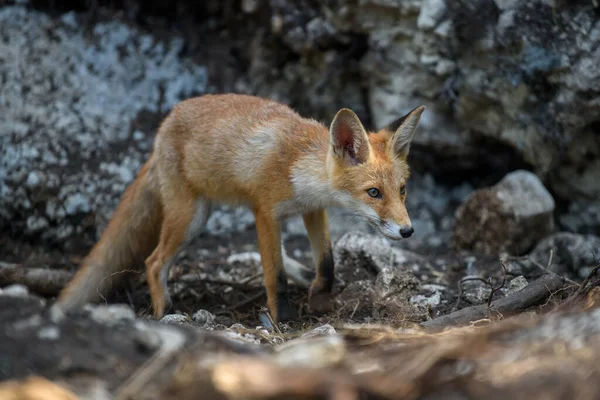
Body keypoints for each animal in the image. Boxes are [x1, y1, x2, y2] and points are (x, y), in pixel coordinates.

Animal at [54, 93, 424, 322]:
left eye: (402, 190)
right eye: (373, 192)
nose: (408, 231)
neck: (297, 165)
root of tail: (163, 130)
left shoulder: (312, 210)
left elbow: (327, 263)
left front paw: (318, 297)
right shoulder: (266, 214)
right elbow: (274, 276)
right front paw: (282, 319)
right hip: (192, 218)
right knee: (153, 262)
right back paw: (163, 311)